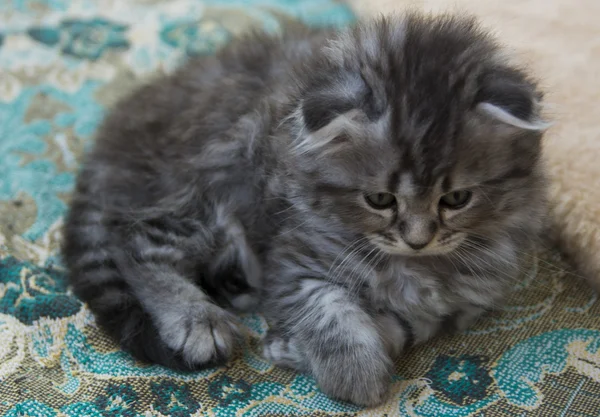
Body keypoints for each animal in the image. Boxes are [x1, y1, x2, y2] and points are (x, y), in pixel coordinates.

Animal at [62, 13, 548, 406]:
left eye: (456, 199)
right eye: (380, 200)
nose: (418, 239)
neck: (416, 267)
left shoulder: (453, 304)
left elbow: (399, 327)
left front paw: (296, 349)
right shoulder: (294, 256)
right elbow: (328, 312)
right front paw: (354, 374)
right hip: (215, 179)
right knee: (135, 240)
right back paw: (199, 319)